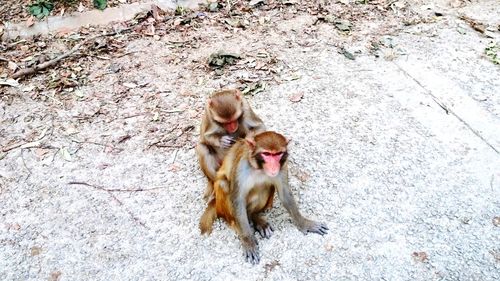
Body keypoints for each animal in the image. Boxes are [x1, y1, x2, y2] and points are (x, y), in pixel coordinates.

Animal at [199, 130, 328, 264]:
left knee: (266, 186)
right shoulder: (241, 169)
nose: (273, 166)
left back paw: (255, 218)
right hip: (222, 207)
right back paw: (238, 224)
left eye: (278, 154)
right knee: (223, 184)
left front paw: (305, 223)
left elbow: (285, 194)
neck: (259, 169)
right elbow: (238, 200)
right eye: (266, 154)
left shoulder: (282, 166)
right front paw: (248, 241)